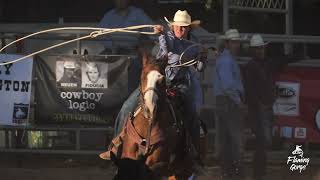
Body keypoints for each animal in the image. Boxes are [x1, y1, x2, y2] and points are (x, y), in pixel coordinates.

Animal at [104, 43, 196, 179]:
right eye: (142, 77)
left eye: (161, 80)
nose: (149, 108)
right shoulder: (128, 158)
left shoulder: (155, 166)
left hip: (181, 170)